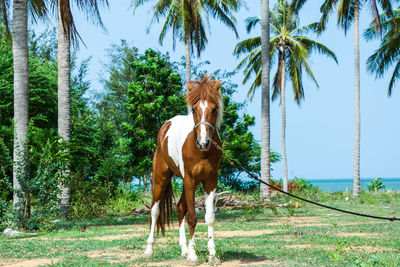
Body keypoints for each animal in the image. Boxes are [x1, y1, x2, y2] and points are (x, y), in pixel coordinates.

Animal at [144, 76, 225, 264]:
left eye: (214, 109)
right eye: (194, 109)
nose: (203, 142)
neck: (202, 152)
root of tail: (166, 126)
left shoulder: (210, 181)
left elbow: (209, 218)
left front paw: (212, 255)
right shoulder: (190, 179)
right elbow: (193, 218)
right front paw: (194, 255)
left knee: (181, 207)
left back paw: (184, 249)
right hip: (162, 178)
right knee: (155, 210)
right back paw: (149, 249)